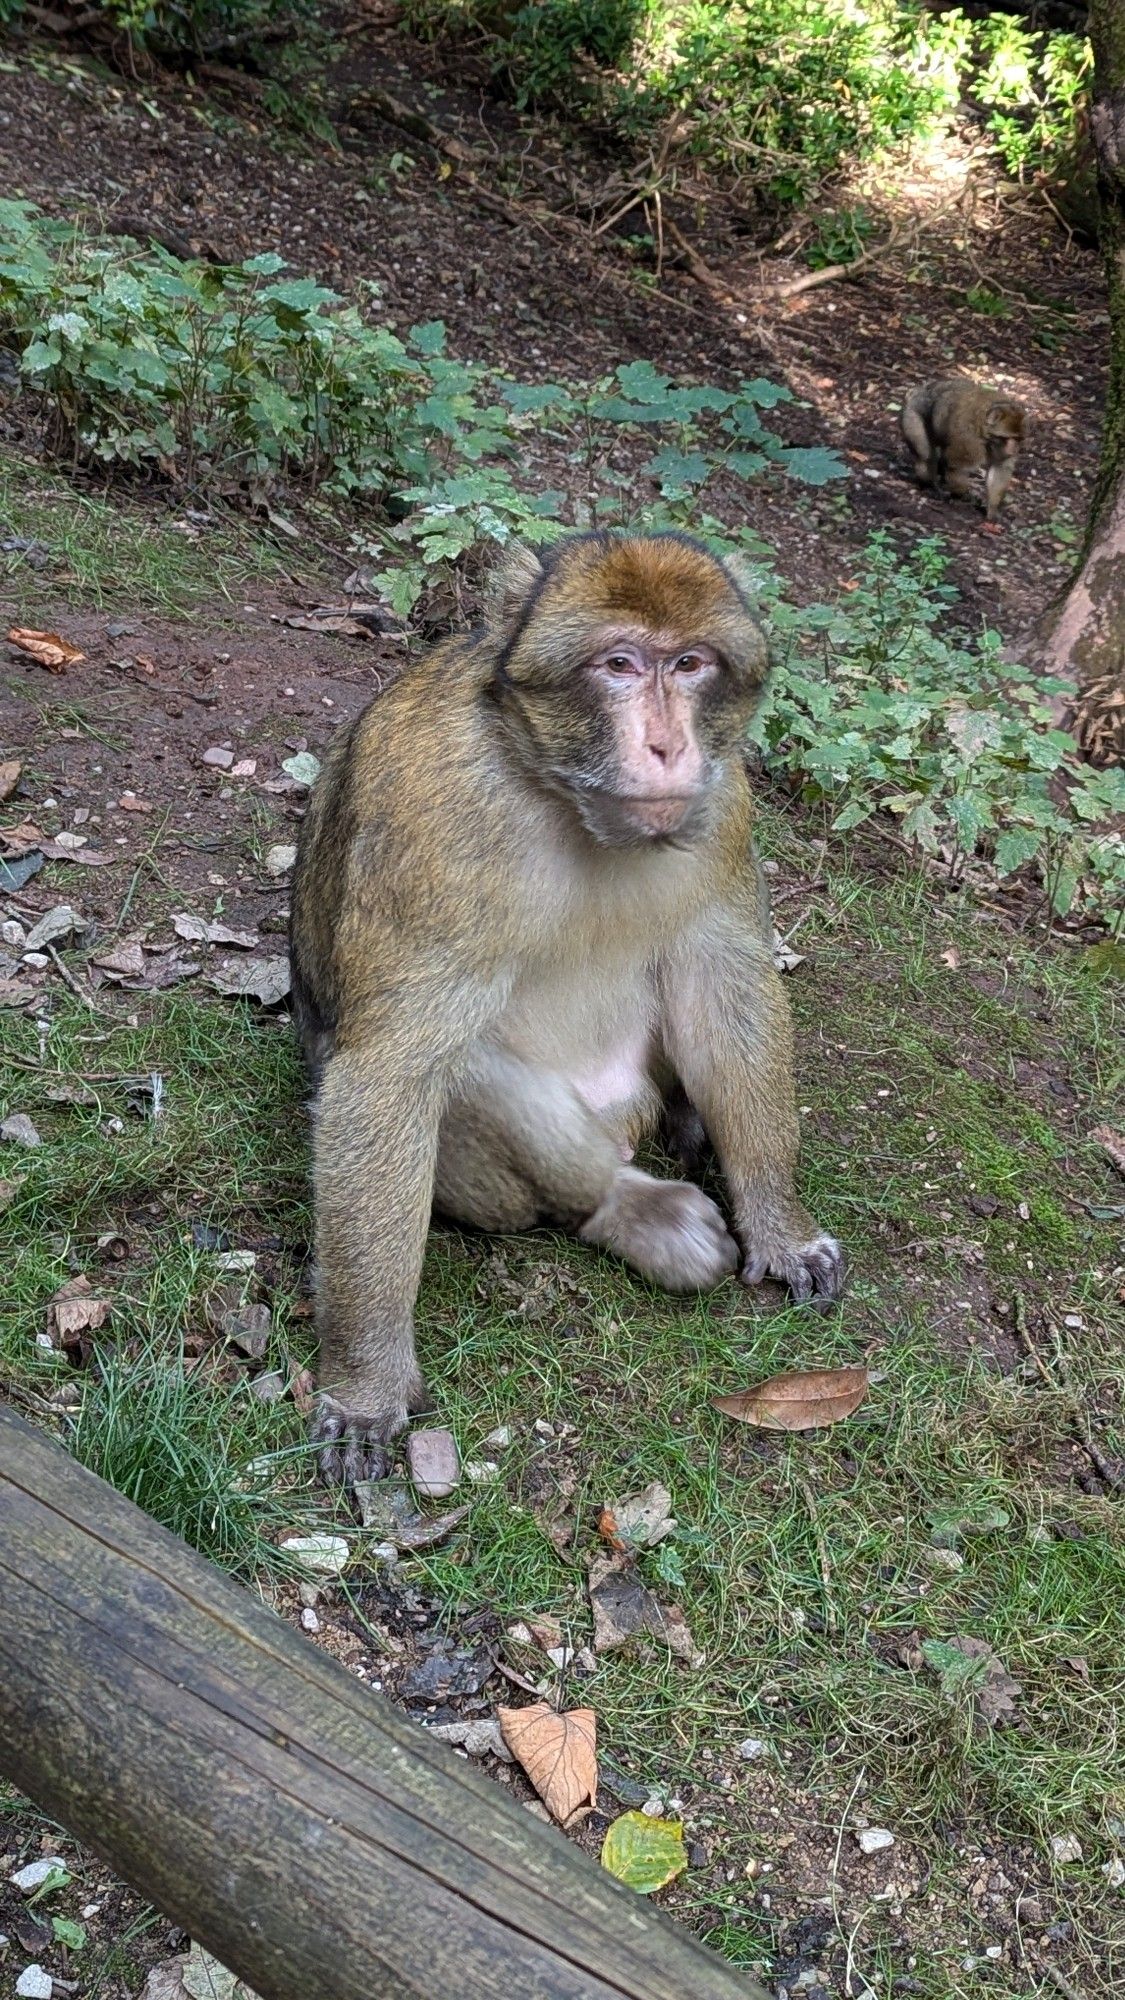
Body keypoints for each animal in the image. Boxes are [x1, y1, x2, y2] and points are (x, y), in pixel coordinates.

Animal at [288, 532, 840, 1488]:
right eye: (618, 665)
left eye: (688, 663)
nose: (665, 744)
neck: (553, 789)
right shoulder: (426, 810)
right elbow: (391, 1071)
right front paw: (363, 1384)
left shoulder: (725, 801)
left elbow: (723, 982)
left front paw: (779, 1221)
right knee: (453, 1071)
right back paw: (632, 1212)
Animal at [896, 374, 1020, 520]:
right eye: (1007, 439)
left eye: (1018, 439)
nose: (1014, 449)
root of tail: (915, 392)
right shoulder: (968, 440)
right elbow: (957, 465)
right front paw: (961, 493)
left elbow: (1000, 468)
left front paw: (992, 510)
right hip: (911, 415)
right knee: (925, 456)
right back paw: (931, 485)